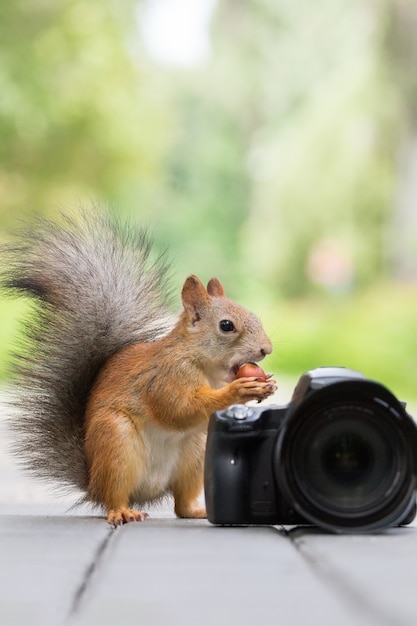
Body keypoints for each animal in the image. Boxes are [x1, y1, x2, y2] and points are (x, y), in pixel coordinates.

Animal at [3, 212, 278, 524]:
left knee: (181, 504)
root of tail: (93, 481)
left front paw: (268, 386)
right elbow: (178, 408)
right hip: (117, 444)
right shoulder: (167, 376)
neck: (204, 366)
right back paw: (121, 511)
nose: (266, 349)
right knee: (114, 495)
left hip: (195, 451)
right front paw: (240, 390)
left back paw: (199, 511)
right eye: (226, 325)